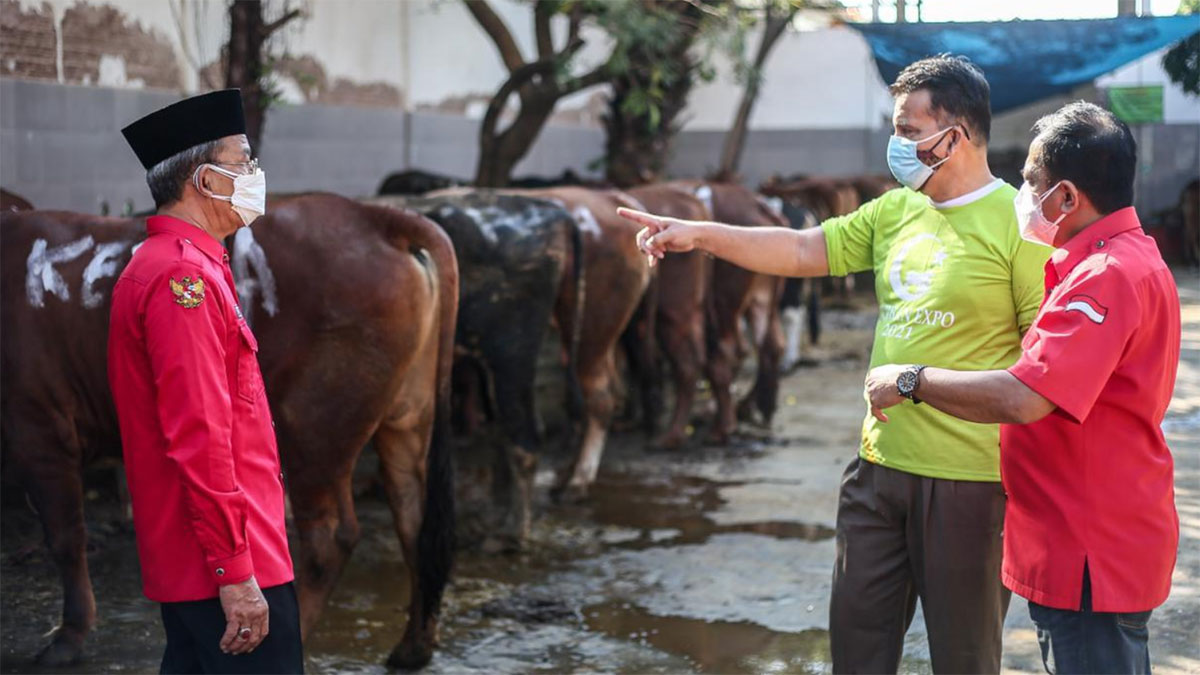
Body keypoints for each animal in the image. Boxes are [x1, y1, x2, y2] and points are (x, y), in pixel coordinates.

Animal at [1, 193, 458, 669]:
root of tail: (373, 214)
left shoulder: (39, 426)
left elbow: (65, 537)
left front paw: (68, 638)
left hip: (313, 429)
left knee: (331, 538)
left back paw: (299, 630)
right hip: (406, 417)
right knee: (414, 518)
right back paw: (412, 646)